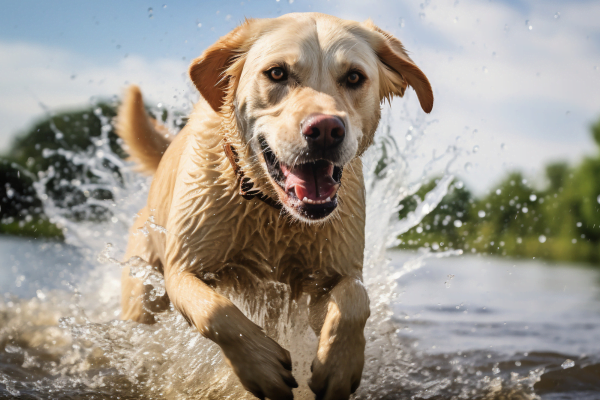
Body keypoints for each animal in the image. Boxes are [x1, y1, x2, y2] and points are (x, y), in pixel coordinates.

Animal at [113, 12, 432, 400]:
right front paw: (261, 366)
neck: (272, 210)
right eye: (277, 73)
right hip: (143, 292)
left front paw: (339, 366)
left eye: (354, 77)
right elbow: (216, 312)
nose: (326, 129)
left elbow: (356, 300)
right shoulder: (182, 270)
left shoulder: (334, 274)